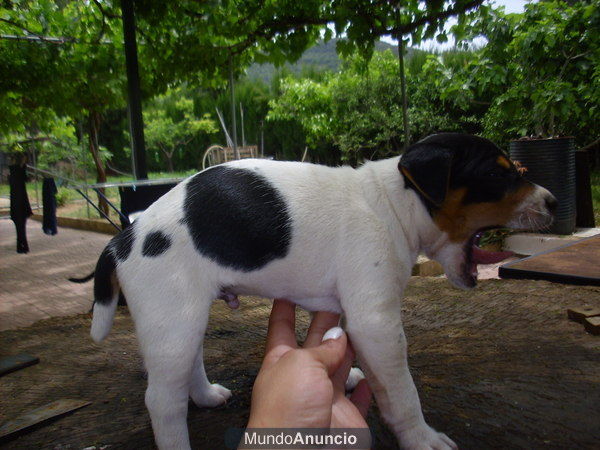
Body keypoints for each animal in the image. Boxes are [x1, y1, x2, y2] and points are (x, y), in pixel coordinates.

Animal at [90, 134, 556, 450]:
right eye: (496, 173)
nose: (552, 202)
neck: (394, 204)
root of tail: (124, 239)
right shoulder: (377, 322)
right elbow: (402, 392)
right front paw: (420, 437)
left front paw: (345, 376)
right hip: (172, 321)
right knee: (161, 401)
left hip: (185, 317)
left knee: (190, 362)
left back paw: (205, 395)